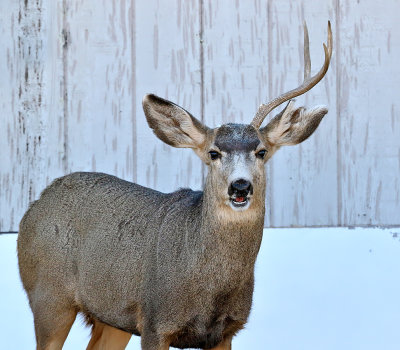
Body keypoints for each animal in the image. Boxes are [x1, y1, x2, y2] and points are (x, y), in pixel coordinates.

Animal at [18, 22, 332, 350]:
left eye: (261, 151)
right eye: (213, 153)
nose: (240, 186)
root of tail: (36, 203)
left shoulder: (227, 329)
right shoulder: (155, 321)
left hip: (111, 318)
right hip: (49, 296)